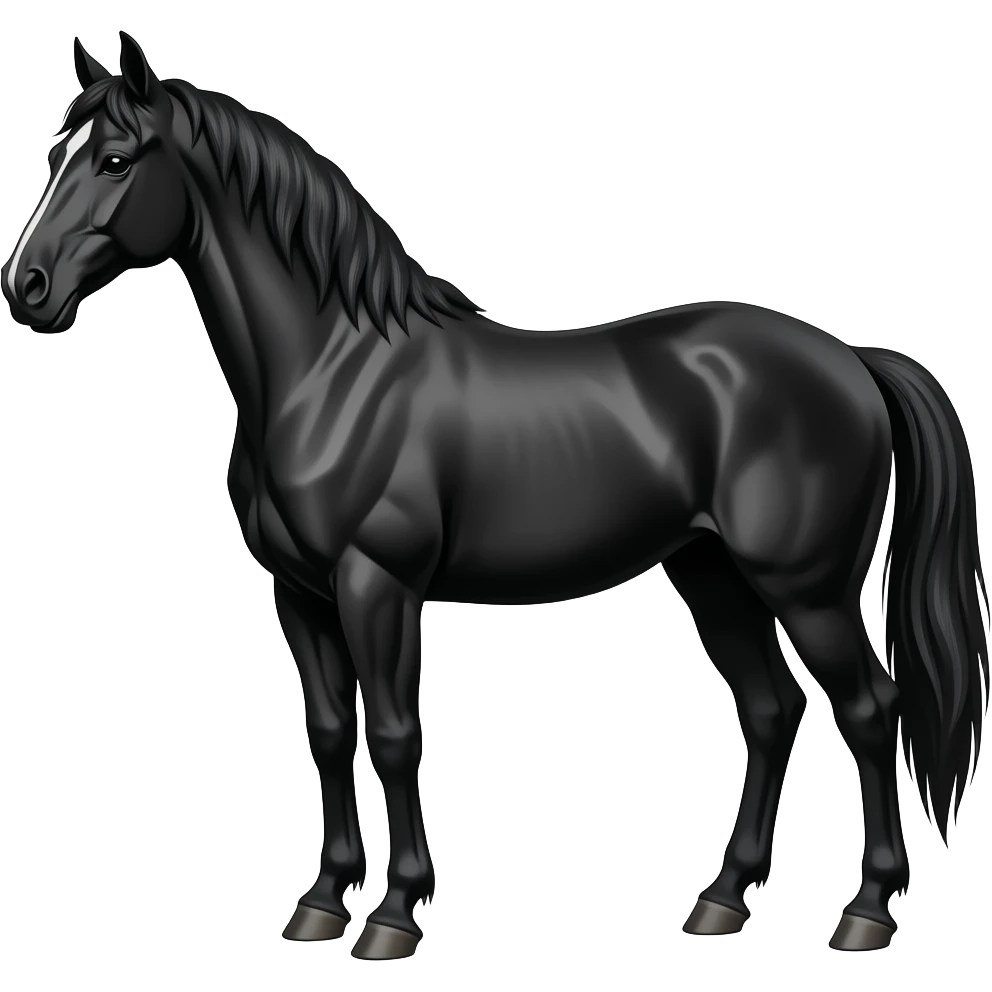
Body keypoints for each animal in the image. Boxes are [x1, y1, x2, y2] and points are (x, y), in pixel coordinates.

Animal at [3, 32, 988, 960]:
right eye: (56, 152)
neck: (333, 371)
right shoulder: (300, 594)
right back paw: (721, 900)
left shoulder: (378, 586)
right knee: (771, 709)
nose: (27, 288)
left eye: (116, 159)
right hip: (711, 573)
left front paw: (394, 915)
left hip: (807, 589)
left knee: (870, 711)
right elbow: (330, 732)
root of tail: (852, 360)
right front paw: (322, 903)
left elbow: (395, 734)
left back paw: (865, 913)